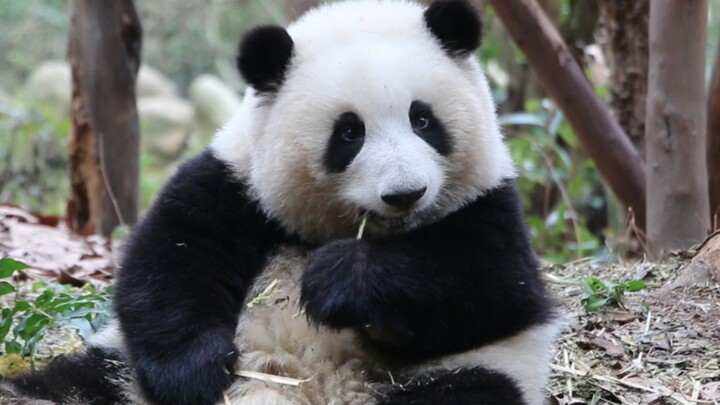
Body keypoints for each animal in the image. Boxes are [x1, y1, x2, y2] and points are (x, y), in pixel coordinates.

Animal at [1, 0, 564, 404]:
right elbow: (171, 261)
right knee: (67, 389)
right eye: (349, 132)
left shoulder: (489, 203)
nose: (404, 194)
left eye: (423, 119)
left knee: (466, 391)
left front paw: (340, 279)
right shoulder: (238, 186)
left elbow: (491, 284)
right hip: (113, 374)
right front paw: (198, 373)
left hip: (448, 377)